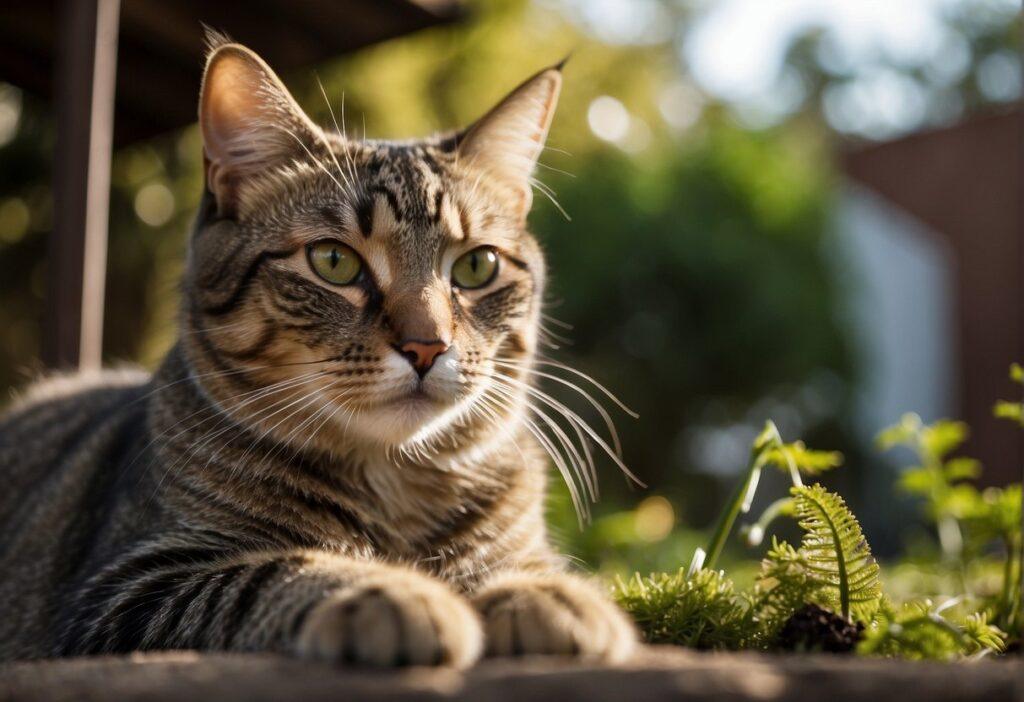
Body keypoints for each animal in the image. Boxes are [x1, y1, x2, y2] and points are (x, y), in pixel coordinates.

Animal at [0, 35, 630, 667]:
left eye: (477, 266)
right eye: (334, 261)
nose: (427, 345)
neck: (397, 488)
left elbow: (518, 565)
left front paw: (546, 592)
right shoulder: (124, 589)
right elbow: (273, 570)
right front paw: (390, 590)